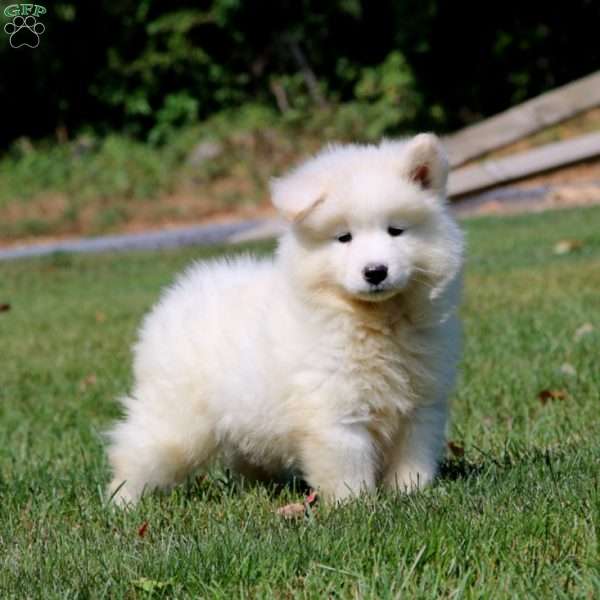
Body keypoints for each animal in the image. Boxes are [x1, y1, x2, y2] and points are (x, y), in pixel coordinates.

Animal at [106, 132, 464, 506]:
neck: (371, 319)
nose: (376, 272)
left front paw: (411, 494)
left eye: (396, 231)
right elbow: (347, 464)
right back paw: (122, 501)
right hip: (176, 419)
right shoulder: (334, 410)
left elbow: (414, 457)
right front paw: (354, 505)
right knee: (135, 450)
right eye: (344, 237)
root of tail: (176, 296)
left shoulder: (421, 405)